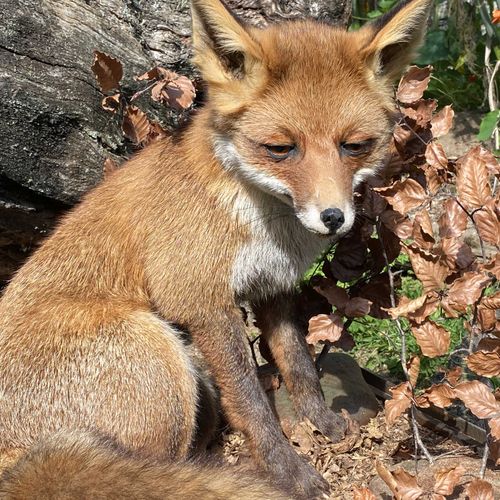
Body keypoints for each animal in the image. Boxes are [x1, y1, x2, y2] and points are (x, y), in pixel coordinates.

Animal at [0, 0, 430, 498]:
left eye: (355, 145)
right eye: (280, 148)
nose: (333, 218)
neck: (262, 222)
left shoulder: (272, 287)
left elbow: (299, 365)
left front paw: (321, 421)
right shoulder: (203, 302)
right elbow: (251, 402)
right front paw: (288, 471)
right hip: (157, 351)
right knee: (157, 466)